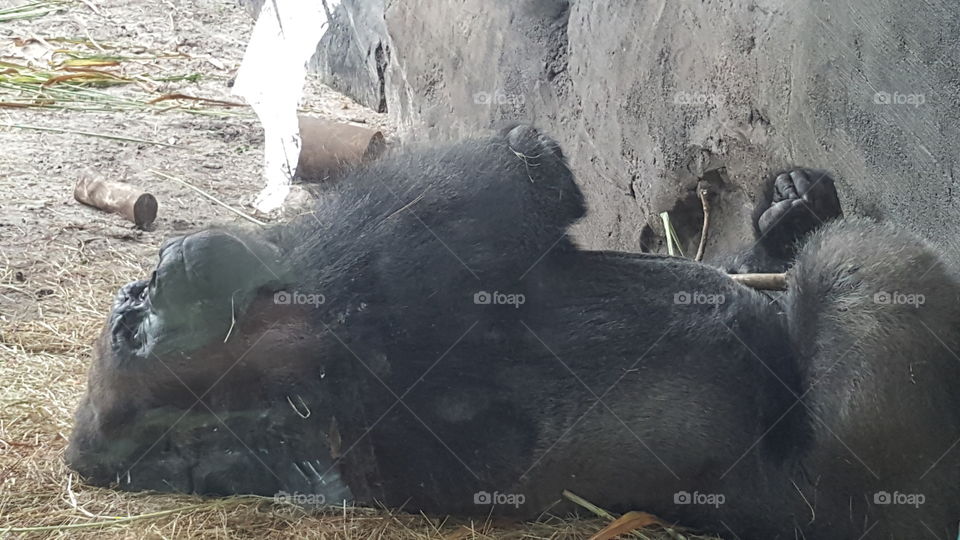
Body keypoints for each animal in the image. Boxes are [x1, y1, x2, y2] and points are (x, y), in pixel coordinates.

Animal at [67, 124, 960, 536]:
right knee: (858, 270)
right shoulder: (340, 313)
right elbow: (507, 191)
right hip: (865, 500)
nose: (149, 278)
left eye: (132, 313)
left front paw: (786, 212)